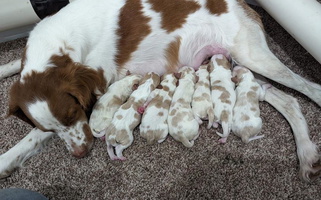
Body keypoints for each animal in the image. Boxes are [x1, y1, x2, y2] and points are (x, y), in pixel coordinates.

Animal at [0, 0, 320, 181]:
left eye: (72, 114)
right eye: (54, 127)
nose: (81, 154)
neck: (58, 42)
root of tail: (243, 4)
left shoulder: (94, 93)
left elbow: (31, 136)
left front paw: (7, 158)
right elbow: (16, 67)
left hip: (253, 58)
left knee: (310, 87)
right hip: (241, 71)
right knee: (289, 101)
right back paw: (306, 154)